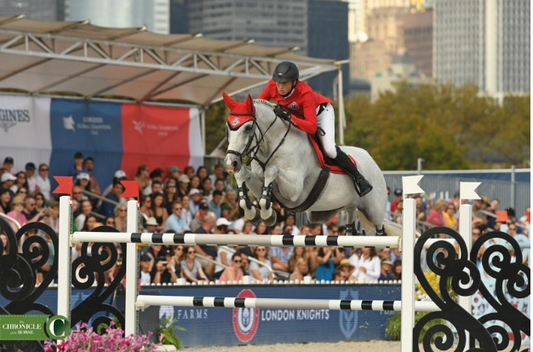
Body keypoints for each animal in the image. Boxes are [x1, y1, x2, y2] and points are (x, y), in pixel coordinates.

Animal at [222, 93, 392, 236]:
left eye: (248, 127)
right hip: (341, 209)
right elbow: (244, 175)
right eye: (228, 128)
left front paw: (266, 214)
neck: (273, 145)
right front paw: (254, 214)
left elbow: (271, 170)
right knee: (351, 224)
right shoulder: (260, 183)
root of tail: (372, 160)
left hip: (374, 211)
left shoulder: (295, 191)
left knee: (379, 230)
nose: (231, 163)